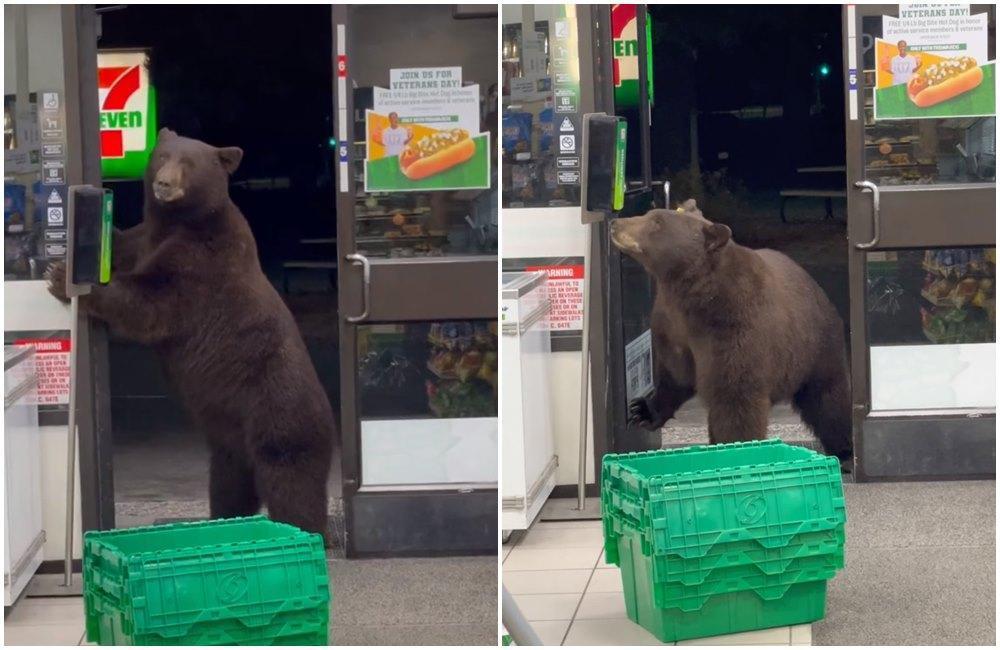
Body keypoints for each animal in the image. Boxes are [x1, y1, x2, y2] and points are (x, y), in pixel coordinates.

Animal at [47, 128, 337, 540]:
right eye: (162, 155)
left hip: (281, 416)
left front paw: (63, 279)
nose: (164, 184)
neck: (179, 221)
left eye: (189, 163)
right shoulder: (145, 239)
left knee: (292, 484)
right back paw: (224, 521)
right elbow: (124, 244)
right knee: (229, 484)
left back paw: (306, 533)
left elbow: (152, 303)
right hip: (231, 443)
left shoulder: (200, 263)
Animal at [609, 199, 853, 462]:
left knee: (828, 400)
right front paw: (641, 410)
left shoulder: (734, 328)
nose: (615, 224)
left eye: (657, 223)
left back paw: (845, 451)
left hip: (814, 347)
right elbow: (674, 374)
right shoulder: (672, 326)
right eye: (650, 214)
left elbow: (734, 400)